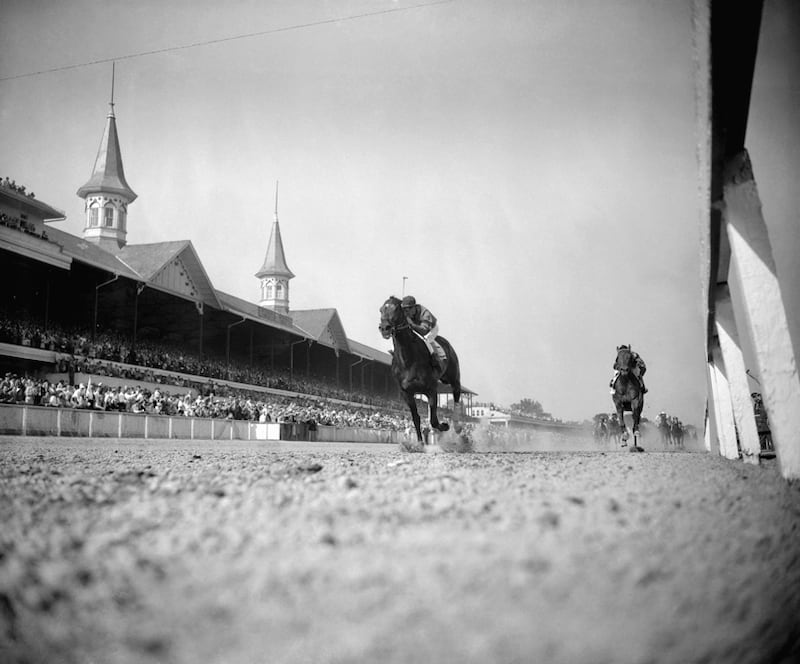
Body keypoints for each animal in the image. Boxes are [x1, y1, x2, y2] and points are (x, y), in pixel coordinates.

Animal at [380, 296, 462, 448]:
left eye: (396, 308)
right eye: (381, 309)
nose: (384, 328)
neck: (408, 359)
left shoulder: (431, 389)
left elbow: (434, 420)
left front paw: (445, 426)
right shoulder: (406, 393)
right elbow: (416, 418)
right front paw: (419, 443)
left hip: (454, 379)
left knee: (457, 397)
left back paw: (457, 426)